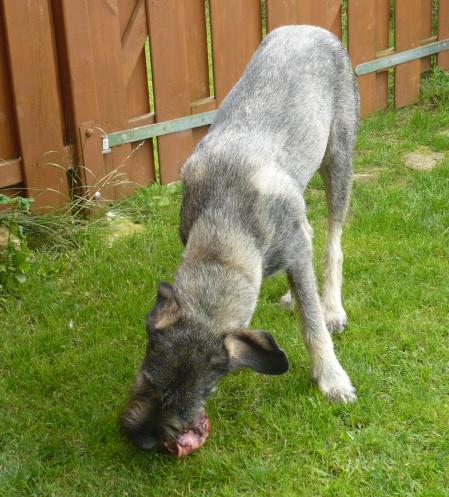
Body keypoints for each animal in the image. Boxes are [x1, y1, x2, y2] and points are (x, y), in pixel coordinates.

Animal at [121, 25, 359, 451]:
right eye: (146, 378)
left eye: (205, 392)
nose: (144, 439)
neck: (226, 228)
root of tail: (310, 28)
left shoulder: (296, 250)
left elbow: (312, 323)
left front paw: (331, 377)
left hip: (339, 160)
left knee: (332, 240)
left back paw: (331, 305)